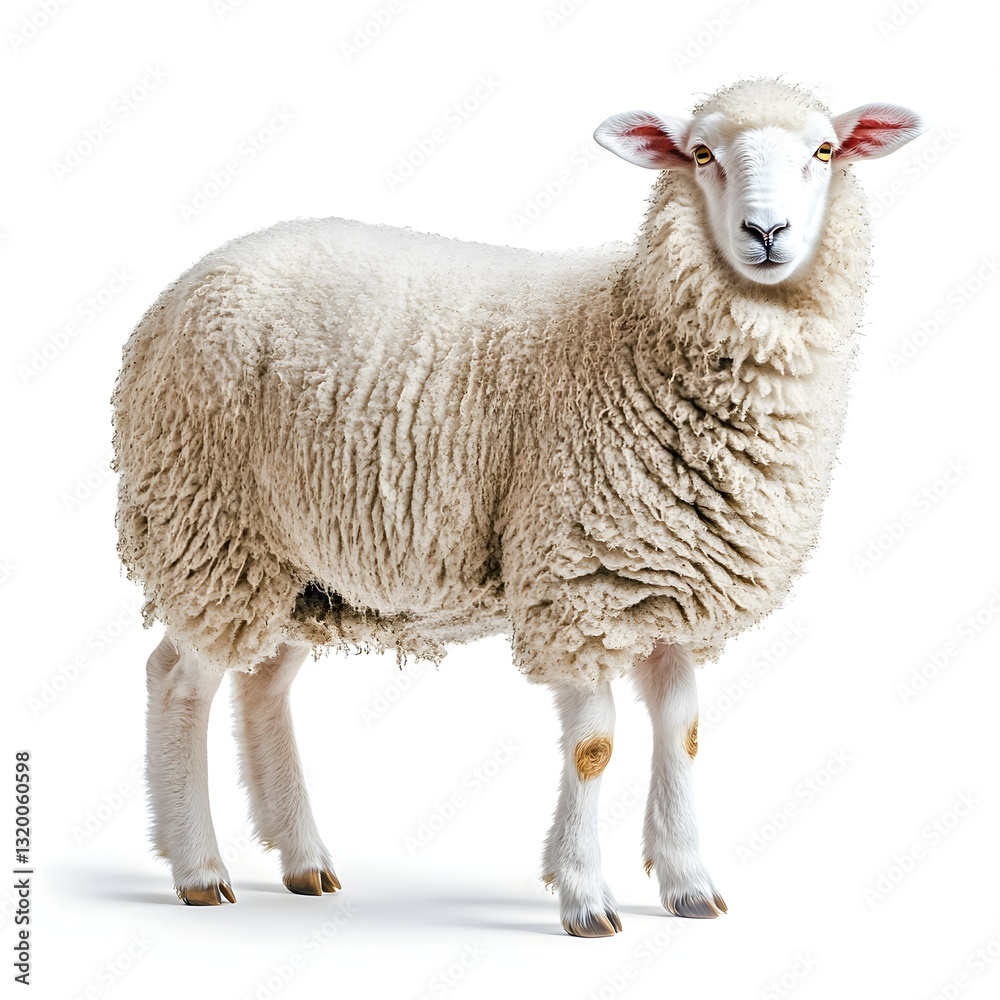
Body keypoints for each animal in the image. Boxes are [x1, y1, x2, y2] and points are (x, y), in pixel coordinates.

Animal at [112, 78, 924, 935]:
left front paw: (688, 884)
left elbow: (683, 734)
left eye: (824, 151)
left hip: (305, 567)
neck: (633, 330)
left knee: (263, 684)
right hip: (210, 527)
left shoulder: (670, 584)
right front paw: (586, 898)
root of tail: (182, 287)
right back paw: (199, 868)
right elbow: (594, 747)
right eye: (702, 154)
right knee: (178, 681)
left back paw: (303, 860)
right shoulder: (577, 583)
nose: (765, 232)